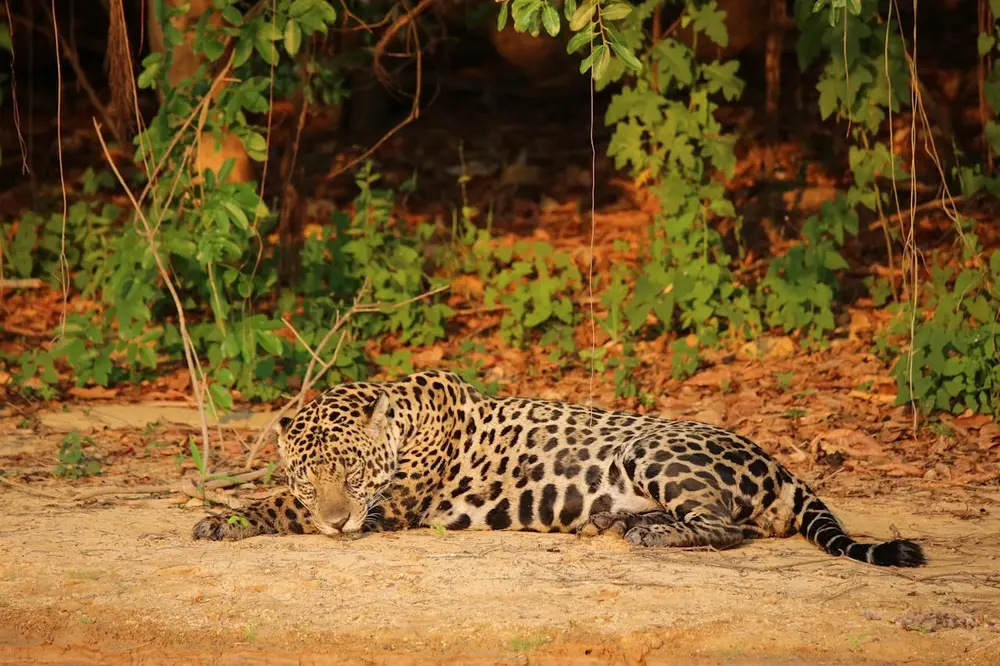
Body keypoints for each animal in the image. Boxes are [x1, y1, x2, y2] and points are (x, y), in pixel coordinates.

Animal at [193, 370, 926, 567]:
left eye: (350, 472)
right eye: (308, 475)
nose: (337, 521)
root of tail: (775, 461)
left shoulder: (392, 506)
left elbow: (277, 511)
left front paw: (225, 520)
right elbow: (277, 502)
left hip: (650, 451)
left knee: (728, 527)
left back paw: (647, 534)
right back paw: (608, 525)